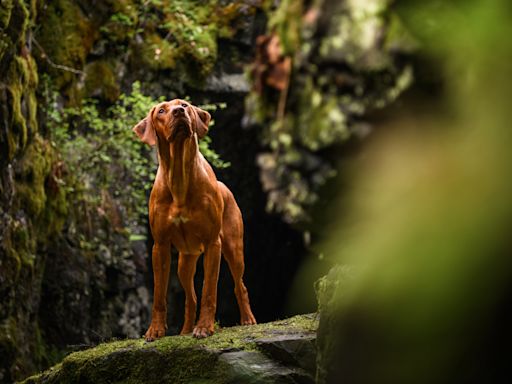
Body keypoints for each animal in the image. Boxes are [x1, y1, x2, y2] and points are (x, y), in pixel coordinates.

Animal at [132, 98, 256, 340]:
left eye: (185, 105)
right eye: (161, 111)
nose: (179, 112)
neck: (180, 177)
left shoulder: (212, 244)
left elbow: (209, 290)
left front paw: (204, 327)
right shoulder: (160, 246)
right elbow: (159, 295)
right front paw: (155, 330)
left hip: (234, 249)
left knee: (240, 285)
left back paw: (247, 319)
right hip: (185, 262)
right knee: (191, 298)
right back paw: (185, 330)